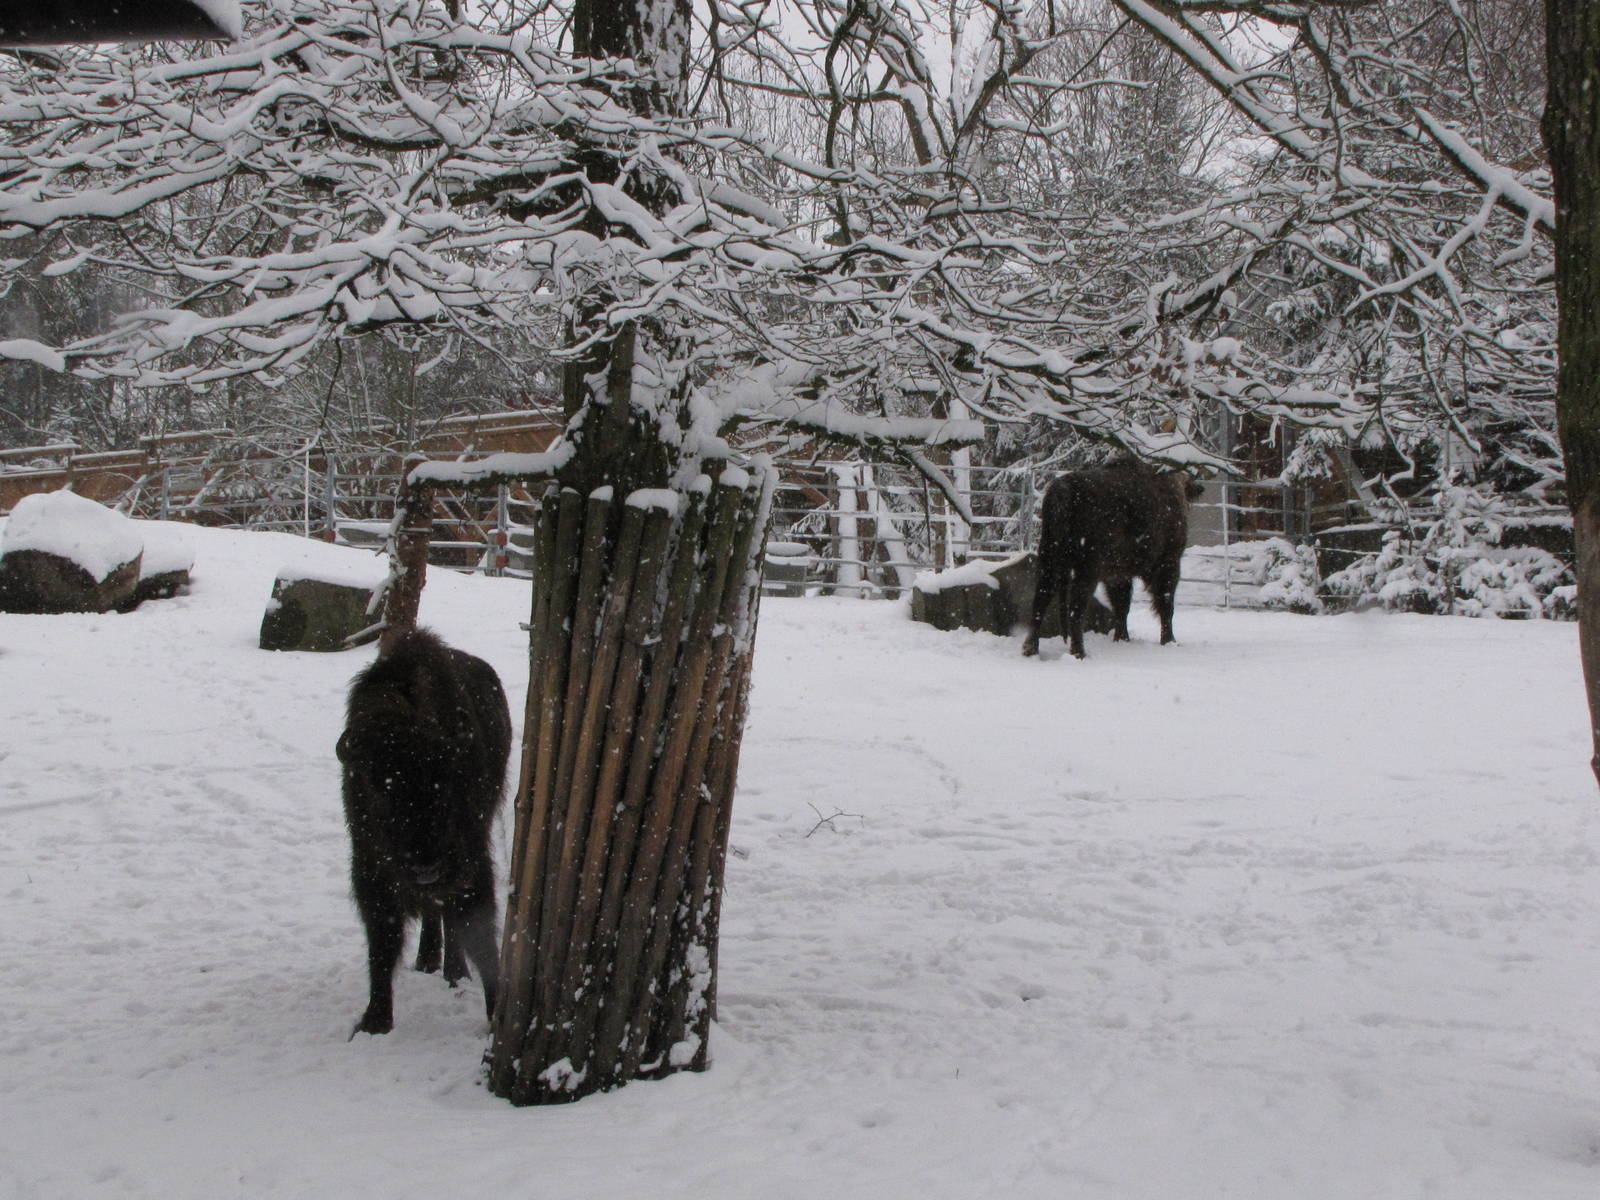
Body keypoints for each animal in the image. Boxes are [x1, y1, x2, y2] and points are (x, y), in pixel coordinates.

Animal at [337, 628, 512, 1036]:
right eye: (379, 790)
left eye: (445, 787)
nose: (425, 867)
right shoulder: (371, 871)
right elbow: (382, 942)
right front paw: (375, 1021)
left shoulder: (471, 865)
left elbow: (479, 933)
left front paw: (494, 1015)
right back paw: (429, 960)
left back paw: (453, 971)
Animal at [1022, 456, 1203, 660]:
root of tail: (1063, 491)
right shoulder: (1168, 563)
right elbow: (1165, 605)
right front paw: (1169, 640)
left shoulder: (1118, 575)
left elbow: (1121, 606)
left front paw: (1122, 638)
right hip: (1085, 570)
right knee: (1076, 609)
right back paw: (1079, 652)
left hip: (1049, 562)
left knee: (1040, 601)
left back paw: (1030, 649)